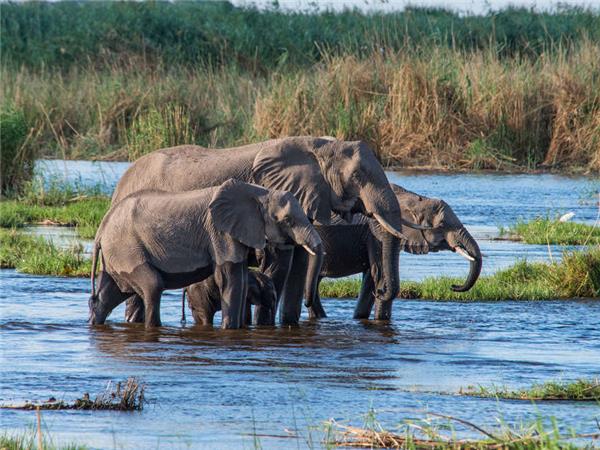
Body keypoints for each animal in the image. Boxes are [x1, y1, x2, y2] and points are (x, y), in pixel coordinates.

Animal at [88, 178, 324, 328]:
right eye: (287, 220)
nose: (308, 304)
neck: (260, 192)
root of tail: (101, 230)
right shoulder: (219, 232)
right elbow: (230, 279)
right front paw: (230, 330)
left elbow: (240, 278)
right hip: (127, 249)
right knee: (152, 286)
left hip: (118, 255)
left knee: (110, 294)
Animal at [110, 135, 424, 326]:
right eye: (358, 176)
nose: (380, 288)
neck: (319, 145)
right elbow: (279, 265)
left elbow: (299, 265)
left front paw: (288, 324)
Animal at [310, 185, 482, 322]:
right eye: (441, 225)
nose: (453, 286)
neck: (412, 198)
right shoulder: (376, 232)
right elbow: (379, 274)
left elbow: (371, 277)